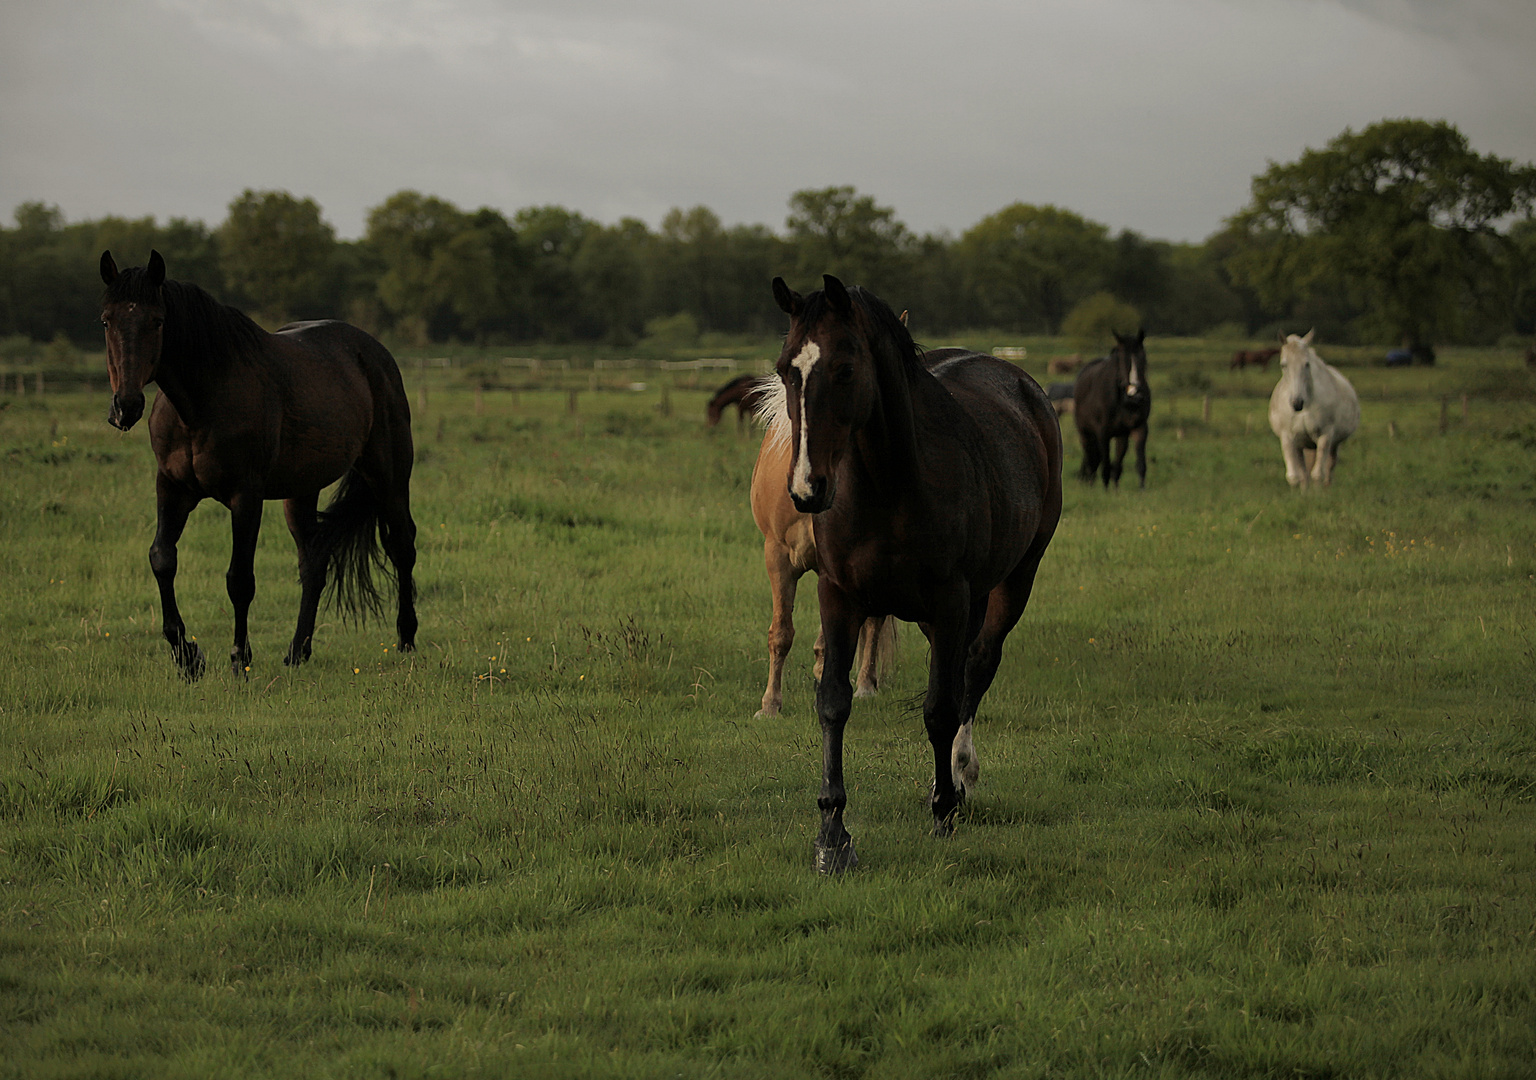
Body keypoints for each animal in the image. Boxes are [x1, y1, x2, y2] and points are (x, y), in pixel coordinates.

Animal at [99, 248, 417, 679]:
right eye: (107, 320)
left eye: (157, 321)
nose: (126, 407)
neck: (201, 402)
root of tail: (375, 353)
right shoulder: (172, 488)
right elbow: (162, 558)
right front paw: (187, 656)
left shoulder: (244, 496)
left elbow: (240, 579)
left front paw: (238, 658)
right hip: (301, 491)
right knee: (313, 562)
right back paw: (297, 651)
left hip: (388, 473)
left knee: (402, 544)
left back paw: (406, 639)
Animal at [774, 274, 1062, 872]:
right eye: (786, 368)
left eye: (845, 369)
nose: (807, 488)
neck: (890, 487)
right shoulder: (839, 597)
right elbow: (833, 702)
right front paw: (832, 835)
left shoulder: (953, 603)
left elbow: (940, 708)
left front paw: (943, 813)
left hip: (1011, 582)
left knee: (976, 669)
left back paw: (961, 775)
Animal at [1075, 328, 1148, 491]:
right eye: (1121, 359)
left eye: (1143, 357)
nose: (1136, 394)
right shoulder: (1103, 433)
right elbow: (1106, 464)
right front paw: (1106, 491)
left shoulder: (1138, 428)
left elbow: (1139, 463)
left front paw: (1141, 490)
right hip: (1085, 434)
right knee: (1091, 461)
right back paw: (1091, 485)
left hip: (1120, 435)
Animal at [1271, 328, 1357, 491]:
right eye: (1284, 365)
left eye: (1307, 364)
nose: (1297, 403)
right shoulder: (1288, 439)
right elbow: (1294, 476)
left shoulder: (1325, 436)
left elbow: (1318, 474)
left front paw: (1318, 495)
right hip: (1304, 445)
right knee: (1305, 472)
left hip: (1332, 444)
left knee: (1328, 468)